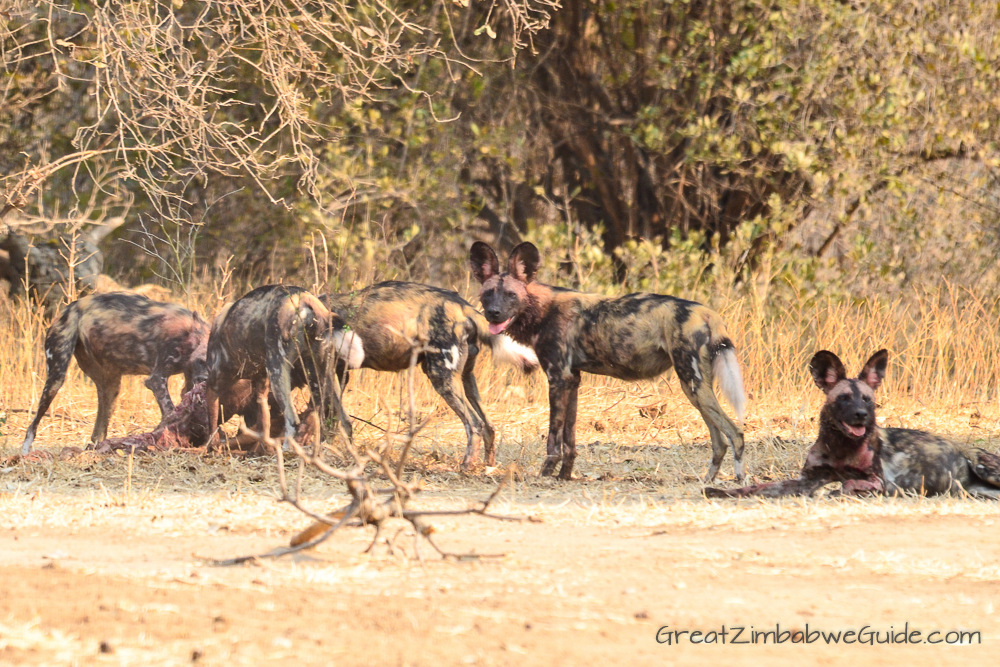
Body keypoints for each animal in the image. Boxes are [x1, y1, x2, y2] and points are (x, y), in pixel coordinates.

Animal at [21, 292, 211, 454]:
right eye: (202, 361)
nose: (204, 379)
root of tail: (71, 307)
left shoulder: (188, 382)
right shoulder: (157, 379)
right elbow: (170, 412)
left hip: (111, 387)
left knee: (98, 433)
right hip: (56, 379)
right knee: (32, 427)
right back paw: (25, 452)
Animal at [203, 284, 364, 452]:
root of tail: (305, 298)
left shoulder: (213, 385)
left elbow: (212, 424)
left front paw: (211, 446)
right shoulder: (261, 390)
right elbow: (263, 426)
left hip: (278, 372)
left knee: (293, 421)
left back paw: (286, 451)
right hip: (325, 373)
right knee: (346, 421)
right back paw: (348, 453)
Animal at [322, 282, 540, 470]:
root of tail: (463, 306)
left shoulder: (325, 373)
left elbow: (339, 419)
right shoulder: (339, 374)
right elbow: (332, 417)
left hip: (441, 377)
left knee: (474, 424)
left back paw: (466, 466)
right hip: (465, 378)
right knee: (488, 425)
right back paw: (488, 466)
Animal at [472, 243, 748, 482]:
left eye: (511, 295)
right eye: (487, 294)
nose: (493, 313)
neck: (541, 309)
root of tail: (706, 312)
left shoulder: (558, 378)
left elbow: (553, 438)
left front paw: (545, 475)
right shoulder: (572, 380)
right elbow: (570, 441)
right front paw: (564, 476)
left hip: (692, 383)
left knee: (736, 434)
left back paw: (739, 480)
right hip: (695, 388)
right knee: (720, 441)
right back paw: (707, 480)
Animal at [704, 348, 1000, 498]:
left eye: (867, 400)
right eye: (844, 398)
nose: (861, 414)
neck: (840, 448)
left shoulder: (881, 482)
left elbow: (848, 484)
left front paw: (836, 493)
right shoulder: (804, 481)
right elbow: (754, 488)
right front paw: (716, 490)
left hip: (984, 468)